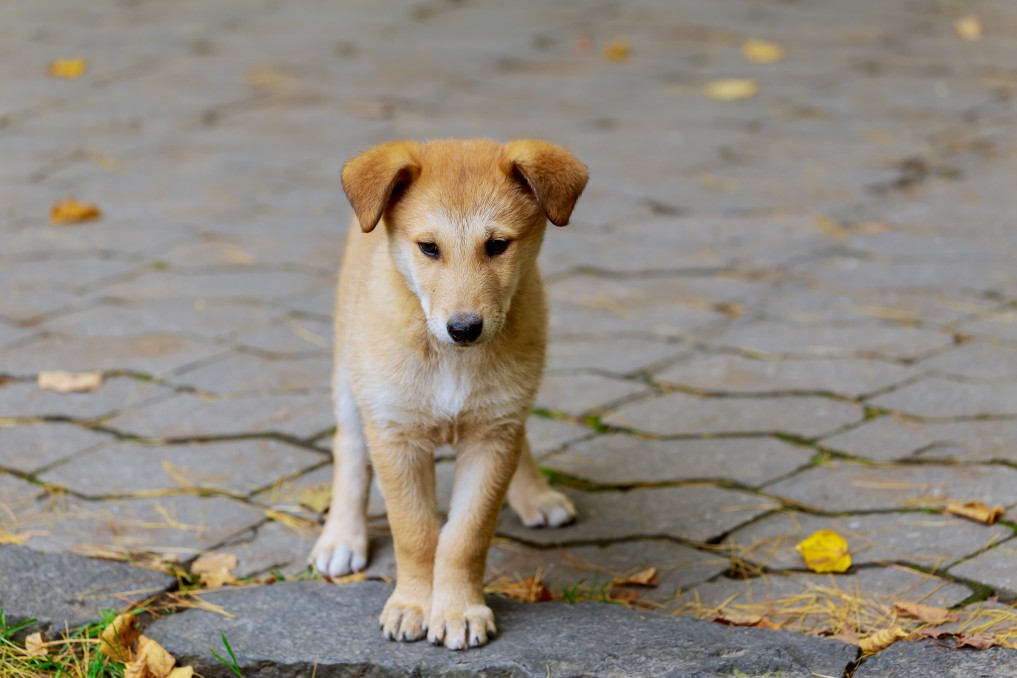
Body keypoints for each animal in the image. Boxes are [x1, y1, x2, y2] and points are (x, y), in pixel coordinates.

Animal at [309, 139, 589, 650]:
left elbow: (466, 536)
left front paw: (459, 610)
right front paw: (413, 606)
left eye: (497, 245)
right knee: (349, 446)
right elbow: (416, 532)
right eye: (428, 248)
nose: (464, 328)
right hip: (349, 373)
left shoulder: (493, 434)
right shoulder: (396, 435)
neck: (449, 360)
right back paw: (341, 537)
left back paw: (535, 495)